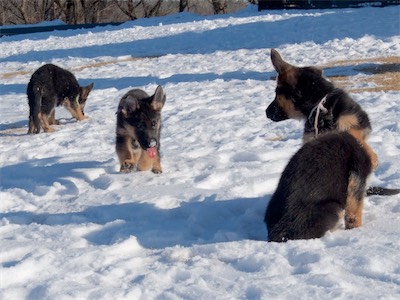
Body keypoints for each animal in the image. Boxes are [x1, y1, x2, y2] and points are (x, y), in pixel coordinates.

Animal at [264, 48, 398, 197]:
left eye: (277, 94)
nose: (266, 112)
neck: (321, 106)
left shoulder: (359, 121)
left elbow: (352, 133)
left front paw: (373, 157)